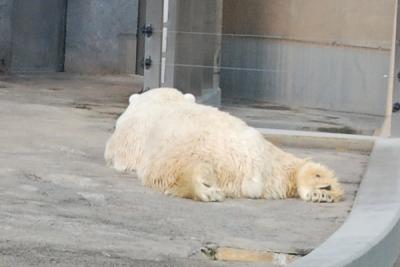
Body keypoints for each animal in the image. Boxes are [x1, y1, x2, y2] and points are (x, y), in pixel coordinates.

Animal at [106, 88, 344, 203]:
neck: (164, 100)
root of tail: (252, 172)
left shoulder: (129, 132)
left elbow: (113, 152)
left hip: (186, 152)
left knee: (174, 171)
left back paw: (205, 191)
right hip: (271, 155)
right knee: (295, 166)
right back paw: (322, 188)